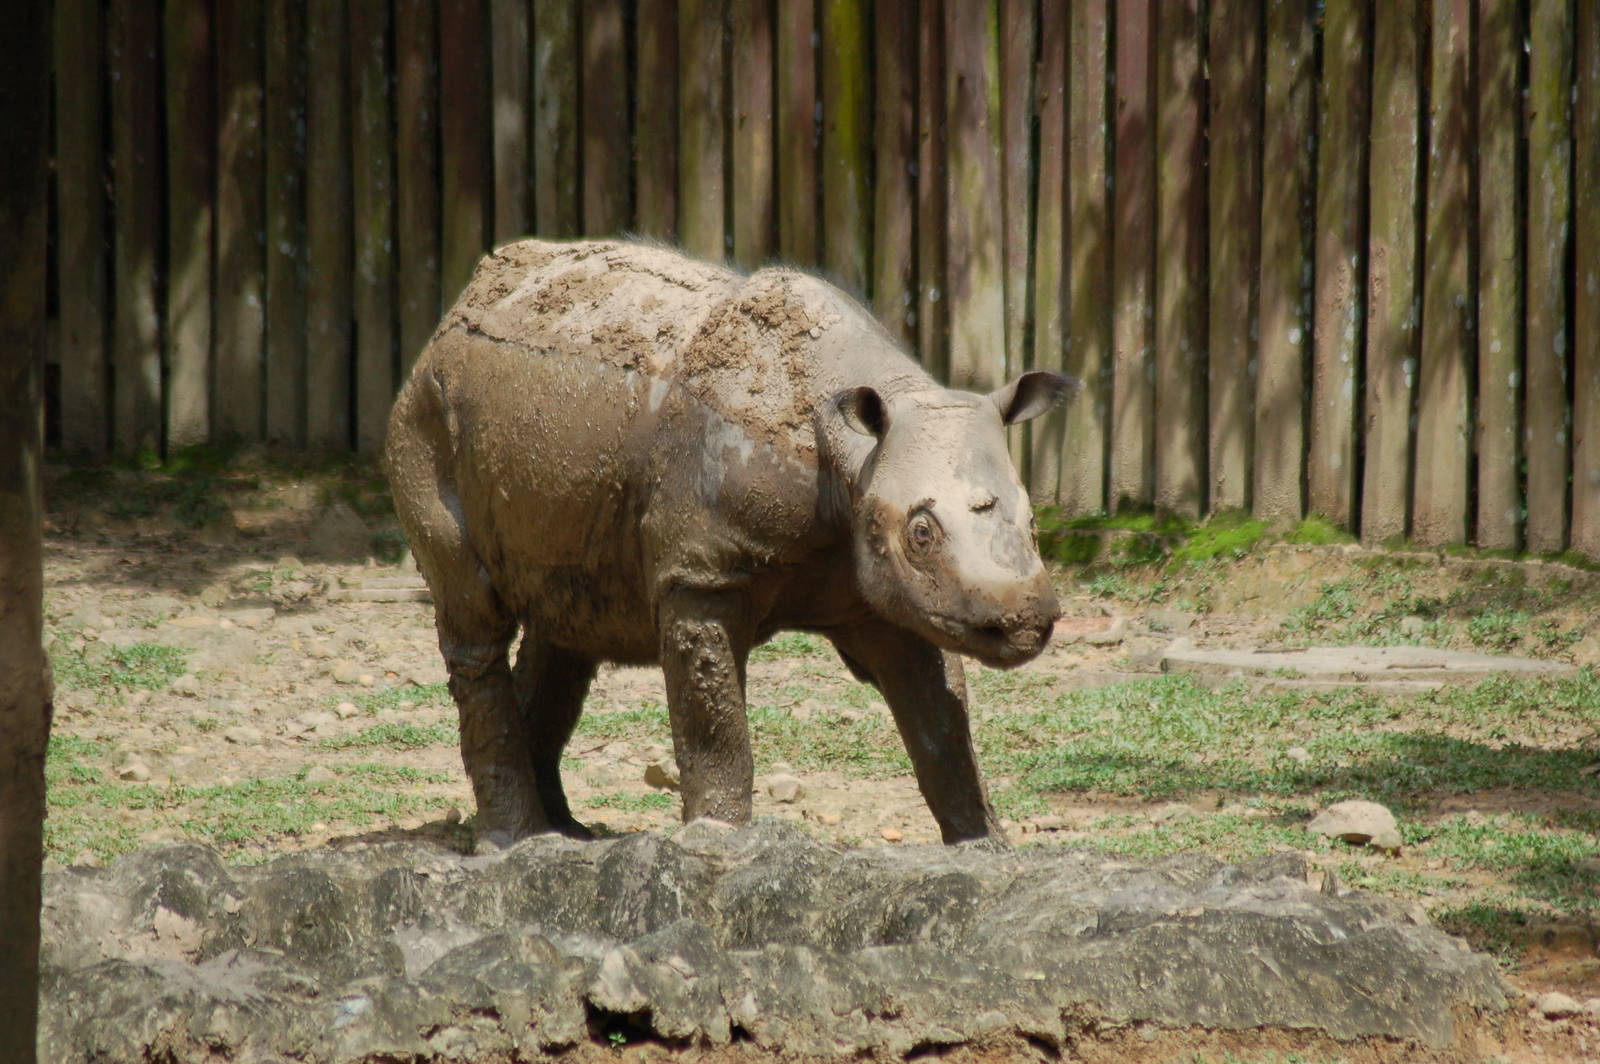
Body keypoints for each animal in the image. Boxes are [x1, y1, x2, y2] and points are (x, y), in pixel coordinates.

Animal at [385, 239, 1071, 848]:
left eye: (1034, 524)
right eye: (922, 534)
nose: (1024, 622)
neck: (854, 450)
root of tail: (450, 319)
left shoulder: (883, 590)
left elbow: (941, 722)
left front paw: (985, 849)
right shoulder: (702, 575)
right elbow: (713, 722)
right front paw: (721, 842)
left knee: (567, 624)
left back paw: (566, 836)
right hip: (423, 417)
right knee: (476, 620)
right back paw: (516, 843)